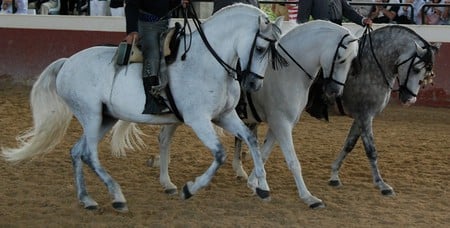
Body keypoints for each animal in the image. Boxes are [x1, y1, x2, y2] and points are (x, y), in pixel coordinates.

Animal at [1, 4, 284, 212]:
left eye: (273, 50)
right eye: (260, 48)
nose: (253, 84)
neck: (206, 62)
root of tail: (67, 62)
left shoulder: (224, 116)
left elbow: (250, 139)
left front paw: (263, 187)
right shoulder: (198, 120)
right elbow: (219, 154)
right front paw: (189, 189)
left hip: (105, 118)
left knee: (77, 152)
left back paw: (87, 199)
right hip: (90, 116)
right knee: (89, 154)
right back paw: (117, 197)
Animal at [146, 20, 360, 209]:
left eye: (353, 62)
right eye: (341, 59)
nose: (335, 91)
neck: (288, 72)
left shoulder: (278, 125)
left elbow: (263, 154)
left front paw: (255, 184)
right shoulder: (281, 124)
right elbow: (292, 161)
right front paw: (308, 197)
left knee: (164, 137)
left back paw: (166, 179)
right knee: (164, 139)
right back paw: (167, 181)